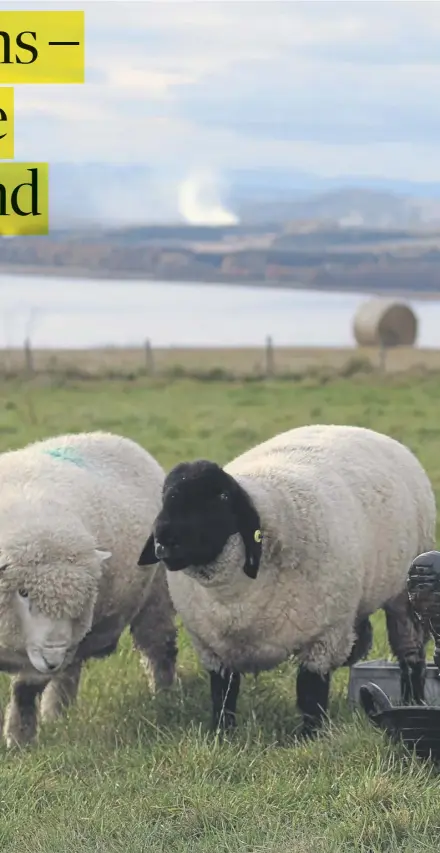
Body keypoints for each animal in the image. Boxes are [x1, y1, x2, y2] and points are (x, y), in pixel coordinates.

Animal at [0, 432, 177, 744]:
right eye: (22, 592)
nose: (52, 658)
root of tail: (115, 437)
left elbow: (24, 691)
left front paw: (19, 741)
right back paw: (58, 714)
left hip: (156, 594)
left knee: (159, 646)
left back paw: (163, 695)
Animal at [139, 422, 434, 736]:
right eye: (165, 496)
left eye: (221, 497)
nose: (163, 540)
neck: (233, 597)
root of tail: (355, 428)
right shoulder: (214, 648)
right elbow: (223, 693)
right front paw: (222, 733)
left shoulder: (323, 637)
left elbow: (310, 691)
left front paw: (310, 735)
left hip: (403, 597)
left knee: (410, 653)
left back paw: (413, 700)